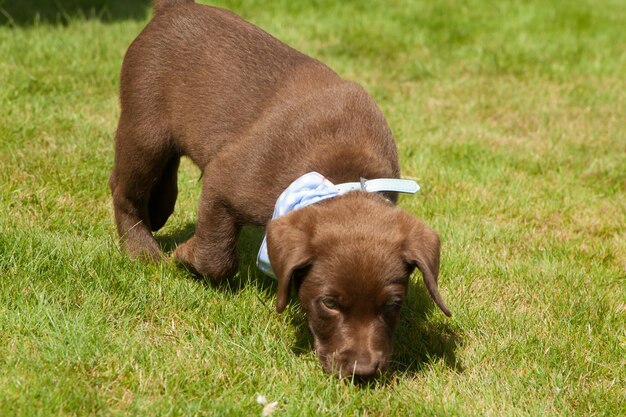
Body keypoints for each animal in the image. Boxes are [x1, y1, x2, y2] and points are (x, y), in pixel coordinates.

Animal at [111, 0, 448, 376]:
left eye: (392, 304)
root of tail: (173, 7)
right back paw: (141, 249)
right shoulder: (224, 181)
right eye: (329, 303)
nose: (362, 371)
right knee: (125, 190)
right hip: (145, 128)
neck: (341, 174)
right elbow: (217, 256)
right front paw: (185, 256)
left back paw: (159, 209)